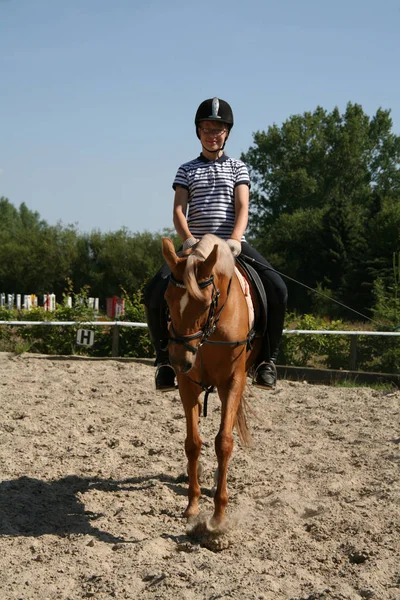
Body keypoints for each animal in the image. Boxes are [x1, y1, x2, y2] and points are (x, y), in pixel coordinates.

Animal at [162, 234, 262, 524]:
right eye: (167, 298)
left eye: (206, 303)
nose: (179, 360)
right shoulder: (187, 385)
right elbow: (193, 443)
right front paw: (192, 505)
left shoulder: (233, 382)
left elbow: (224, 442)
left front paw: (218, 516)